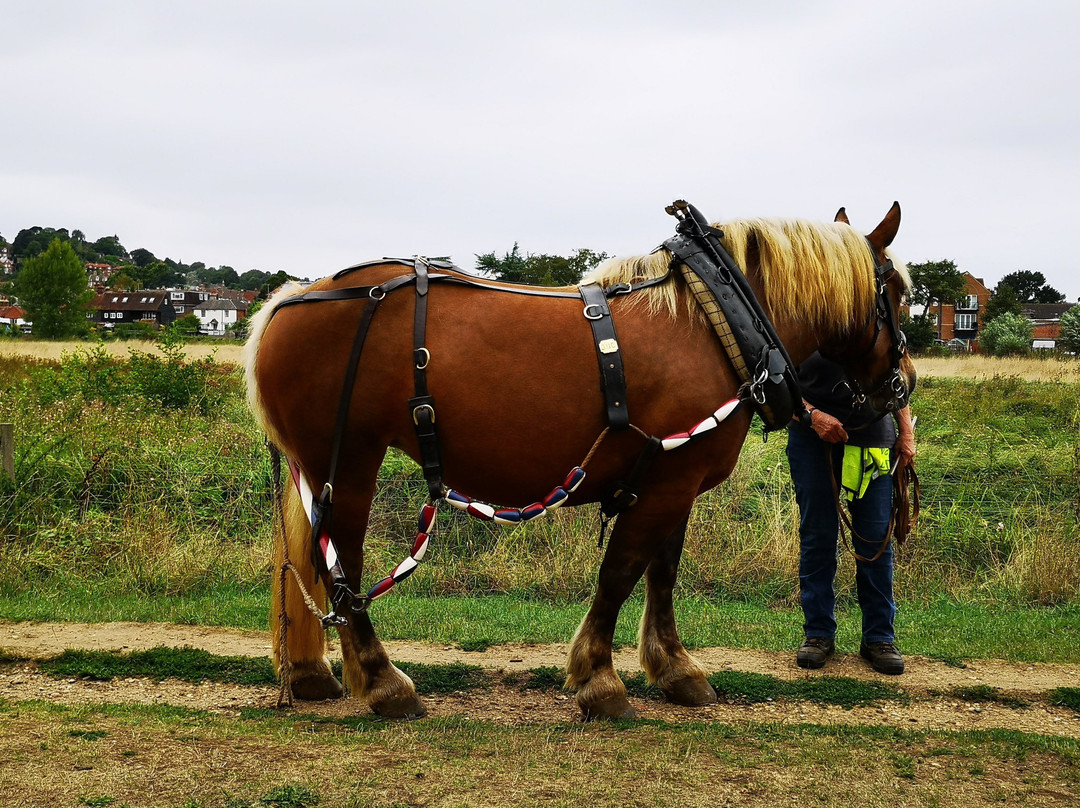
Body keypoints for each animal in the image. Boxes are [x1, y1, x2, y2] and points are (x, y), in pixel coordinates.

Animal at [243, 202, 911, 721]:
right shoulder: (665, 483)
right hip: (348, 461)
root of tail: (287, 300)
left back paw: (310, 673)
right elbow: (620, 574)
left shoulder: (675, 481)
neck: (715, 319)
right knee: (340, 565)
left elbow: (661, 575)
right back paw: (383, 682)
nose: (895, 392)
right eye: (899, 295)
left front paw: (675, 668)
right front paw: (599, 678)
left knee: (311, 559)